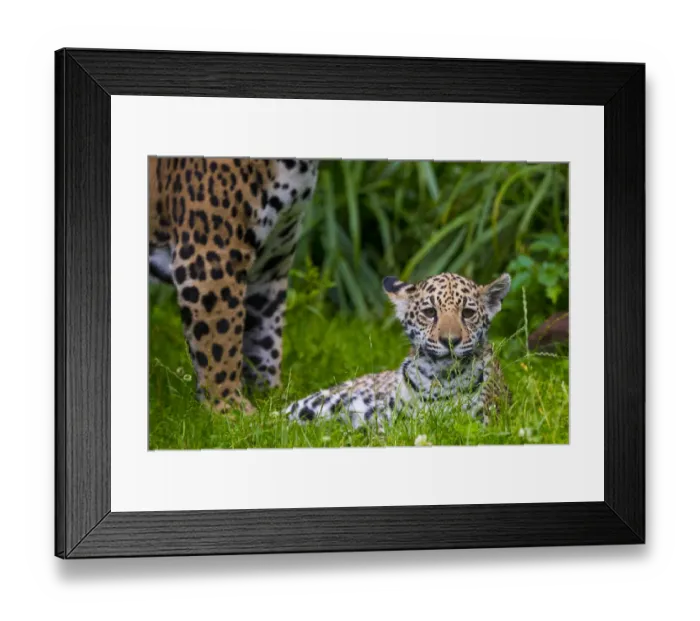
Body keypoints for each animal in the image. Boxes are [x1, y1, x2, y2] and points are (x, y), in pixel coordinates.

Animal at [149, 157, 319, 414]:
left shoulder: (269, 269)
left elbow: (265, 339)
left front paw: (270, 401)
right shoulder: (210, 259)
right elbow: (220, 343)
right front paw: (230, 408)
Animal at [286, 272, 512, 428]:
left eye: (467, 313)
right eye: (430, 312)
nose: (450, 341)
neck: (439, 381)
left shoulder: (484, 419)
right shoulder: (393, 422)